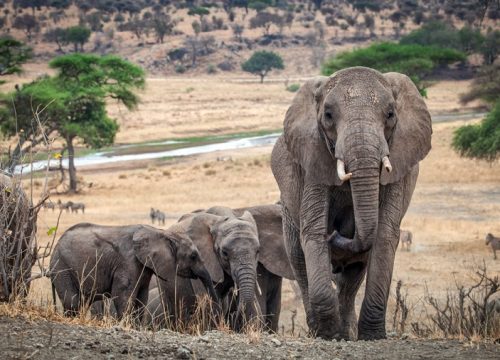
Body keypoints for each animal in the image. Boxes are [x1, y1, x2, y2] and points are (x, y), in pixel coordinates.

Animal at [49, 222, 219, 320]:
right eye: (193, 256)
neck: (161, 233)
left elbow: (141, 298)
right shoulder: (128, 262)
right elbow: (122, 295)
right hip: (62, 267)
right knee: (72, 301)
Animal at [272, 67, 432, 340]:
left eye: (390, 114)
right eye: (327, 115)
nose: (337, 233)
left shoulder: (399, 162)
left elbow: (385, 234)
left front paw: (372, 336)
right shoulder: (313, 158)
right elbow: (313, 231)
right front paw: (328, 335)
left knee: (353, 275)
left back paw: (348, 334)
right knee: (299, 261)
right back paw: (320, 331)